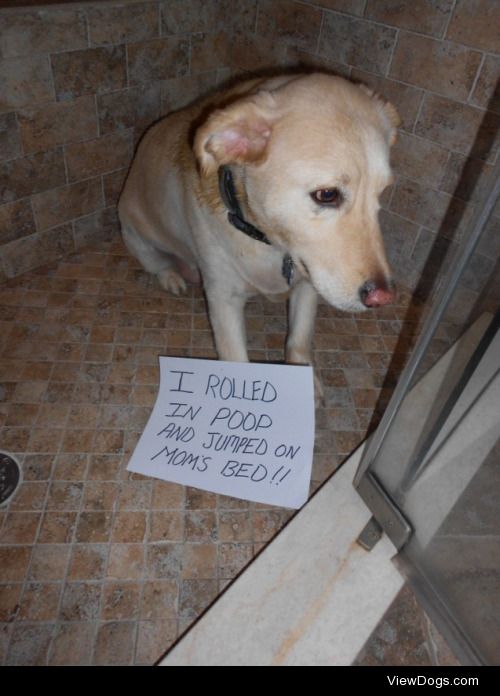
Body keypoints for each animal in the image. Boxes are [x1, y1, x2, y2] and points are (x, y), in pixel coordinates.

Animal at [117, 72, 398, 370]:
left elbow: (299, 341)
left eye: (382, 191)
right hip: (139, 240)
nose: (383, 298)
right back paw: (172, 278)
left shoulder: (308, 285)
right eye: (327, 194)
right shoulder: (223, 299)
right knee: (158, 265)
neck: (267, 240)